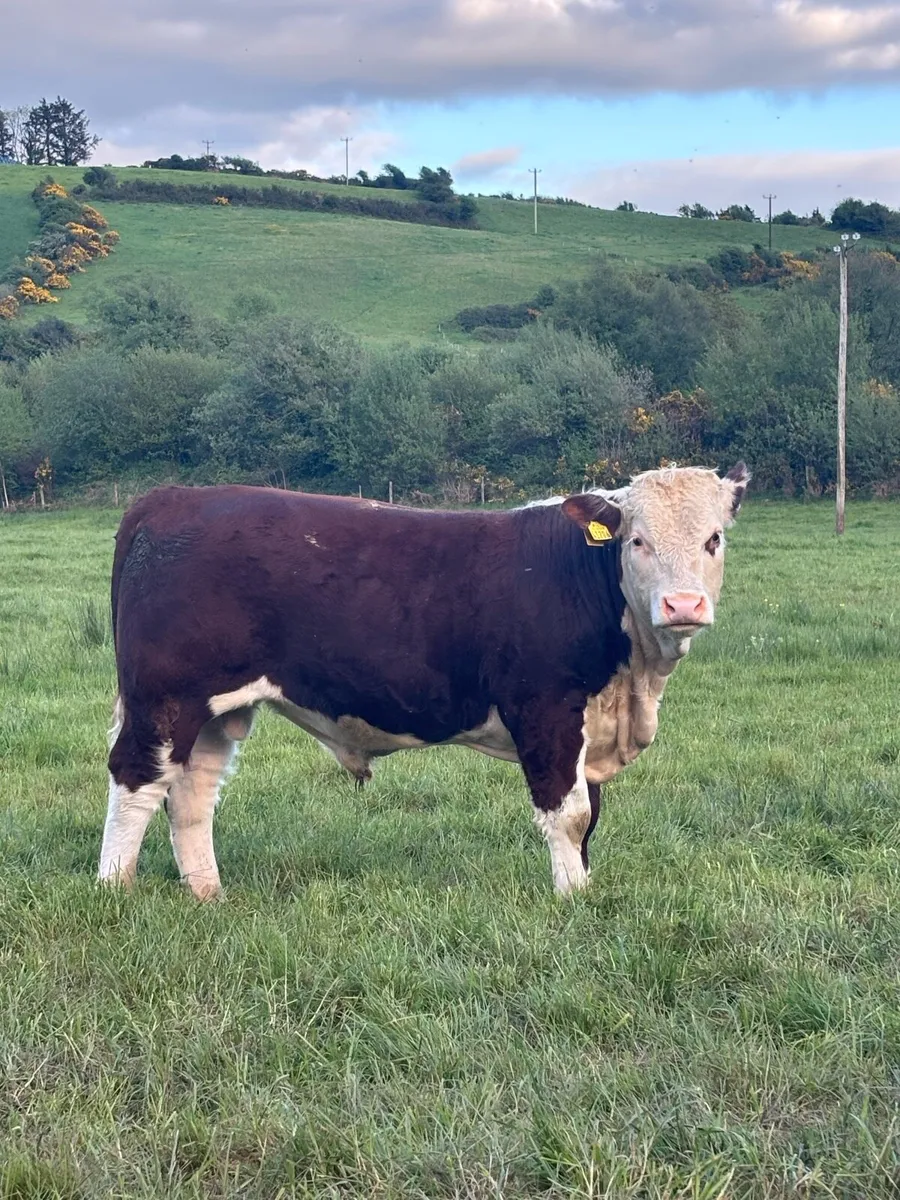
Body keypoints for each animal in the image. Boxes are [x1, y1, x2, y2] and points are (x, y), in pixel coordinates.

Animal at [99, 463, 749, 900]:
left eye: (713, 539)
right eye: (637, 540)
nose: (682, 604)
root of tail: (172, 498)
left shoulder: (590, 723)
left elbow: (590, 815)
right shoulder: (546, 710)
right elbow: (568, 814)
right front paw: (572, 902)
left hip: (216, 708)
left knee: (192, 791)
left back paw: (208, 893)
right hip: (165, 698)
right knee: (136, 779)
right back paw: (115, 890)